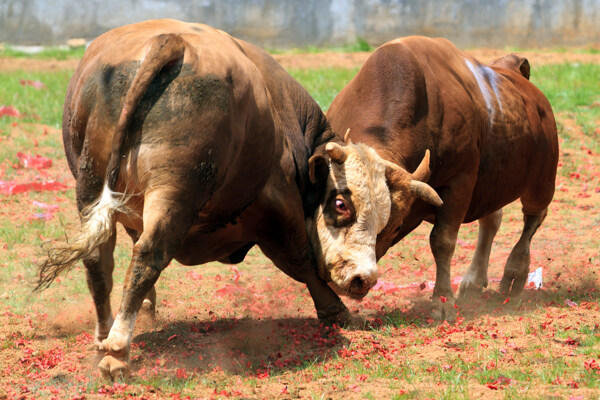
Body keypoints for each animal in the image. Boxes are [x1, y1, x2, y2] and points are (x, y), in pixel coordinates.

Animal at [37, 20, 440, 380]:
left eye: (388, 222)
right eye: (341, 204)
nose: (363, 279)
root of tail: (170, 42)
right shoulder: (278, 205)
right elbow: (301, 259)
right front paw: (336, 312)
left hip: (91, 183)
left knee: (99, 260)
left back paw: (104, 337)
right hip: (176, 191)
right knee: (148, 256)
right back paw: (117, 352)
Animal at [326, 36, 560, 318]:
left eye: (396, 227)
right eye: (342, 207)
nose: (356, 282)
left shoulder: (460, 181)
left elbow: (443, 241)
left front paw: (442, 299)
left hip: (542, 180)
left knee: (533, 218)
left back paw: (514, 272)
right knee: (492, 220)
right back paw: (473, 280)